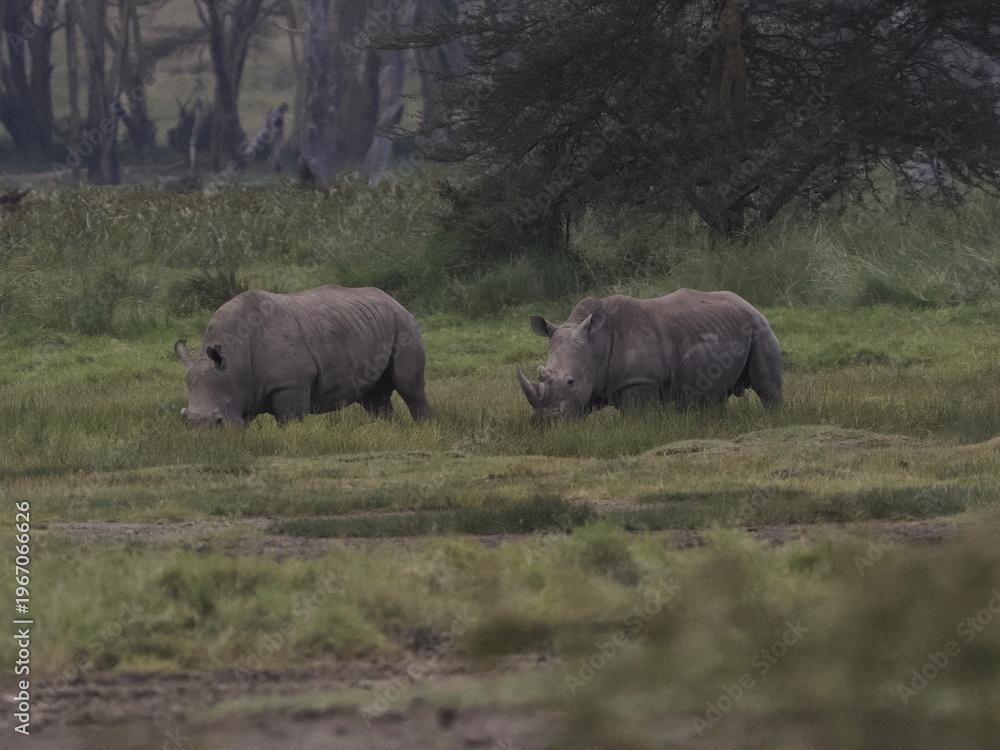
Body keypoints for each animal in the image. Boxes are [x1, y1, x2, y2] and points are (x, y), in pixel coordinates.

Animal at [175, 285, 432, 426]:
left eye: (218, 421)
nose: (200, 432)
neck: (235, 362)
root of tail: (393, 300)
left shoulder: (291, 382)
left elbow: (290, 420)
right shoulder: (242, 390)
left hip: (403, 323)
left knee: (409, 386)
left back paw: (423, 427)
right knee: (374, 396)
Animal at [517, 289, 782, 419]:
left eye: (570, 382)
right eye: (540, 376)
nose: (546, 420)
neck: (595, 345)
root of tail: (748, 303)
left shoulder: (639, 381)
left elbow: (636, 419)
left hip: (759, 327)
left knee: (767, 386)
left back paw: (775, 418)